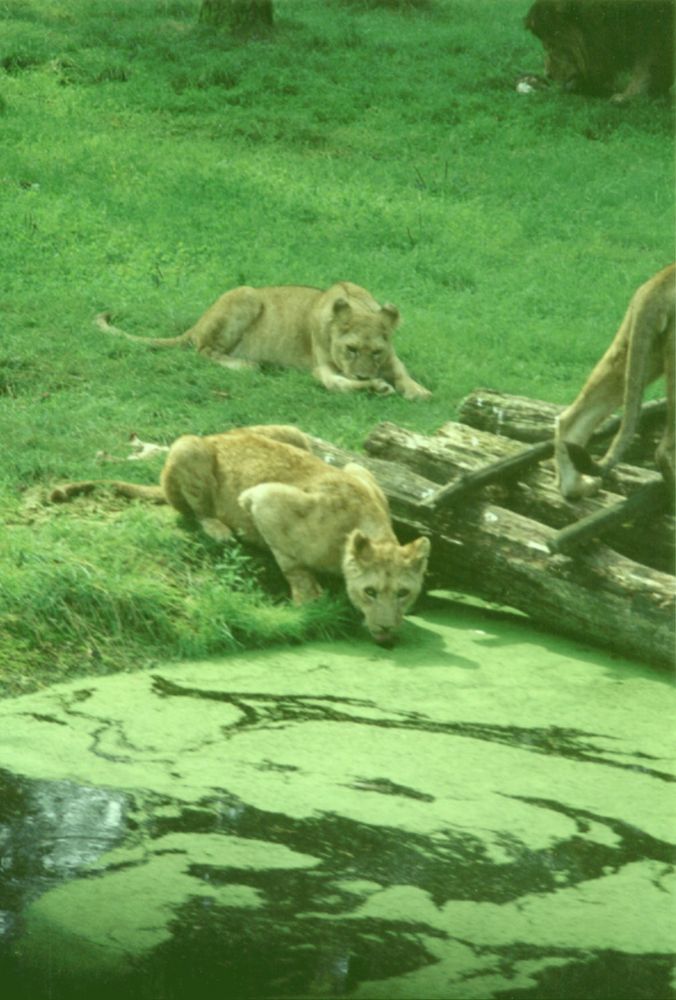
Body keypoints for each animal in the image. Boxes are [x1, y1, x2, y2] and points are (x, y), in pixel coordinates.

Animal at [97, 280, 430, 400]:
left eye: (376, 352)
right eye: (350, 349)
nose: (363, 373)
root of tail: (197, 323)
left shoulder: (392, 357)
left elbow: (403, 373)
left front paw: (417, 390)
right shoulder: (322, 368)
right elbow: (340, 384)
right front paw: (376, 386)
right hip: (246, 295)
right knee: (204, 351)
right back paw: (248, 365)